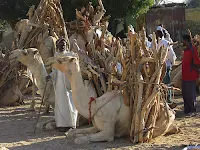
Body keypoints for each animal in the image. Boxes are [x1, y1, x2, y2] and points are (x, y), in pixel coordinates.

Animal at [45, 51, 178, 144]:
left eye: (62, 59)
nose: (48, 60)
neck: (95, 105)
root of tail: (171, 111)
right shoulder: (96, 126)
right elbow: (72, 132)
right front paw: (72, 132)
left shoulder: (108, 131)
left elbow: (81, 139)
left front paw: (79, 137)